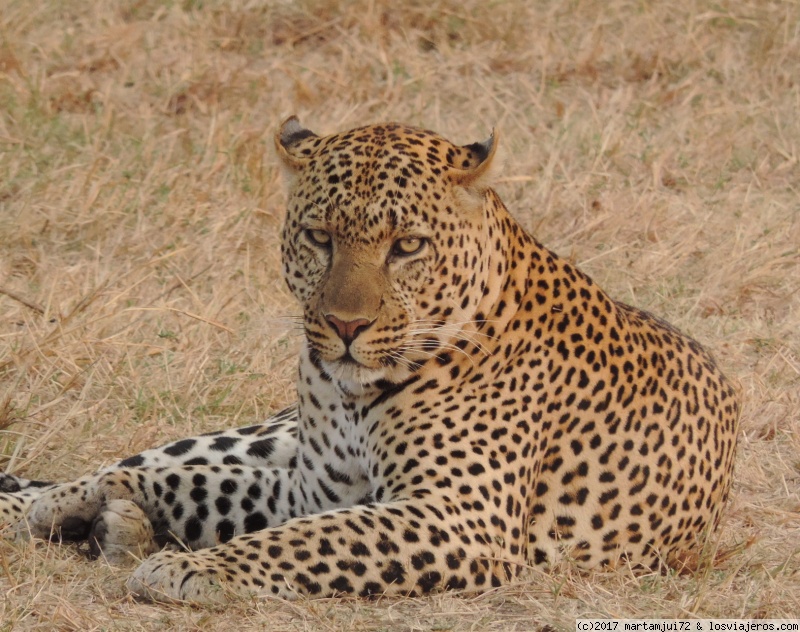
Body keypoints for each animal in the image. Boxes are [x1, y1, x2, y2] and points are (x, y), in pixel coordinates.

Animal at [0, 117, 740, 604]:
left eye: (407, 245)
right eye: (319, 237)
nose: (346, 326)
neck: (355, 394)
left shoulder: (456, 515)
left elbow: (306, 539)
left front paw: (194, 569)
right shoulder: (314, 488)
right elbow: (195, 482)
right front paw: (76, 504)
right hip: (265, 433)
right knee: (153, 458)